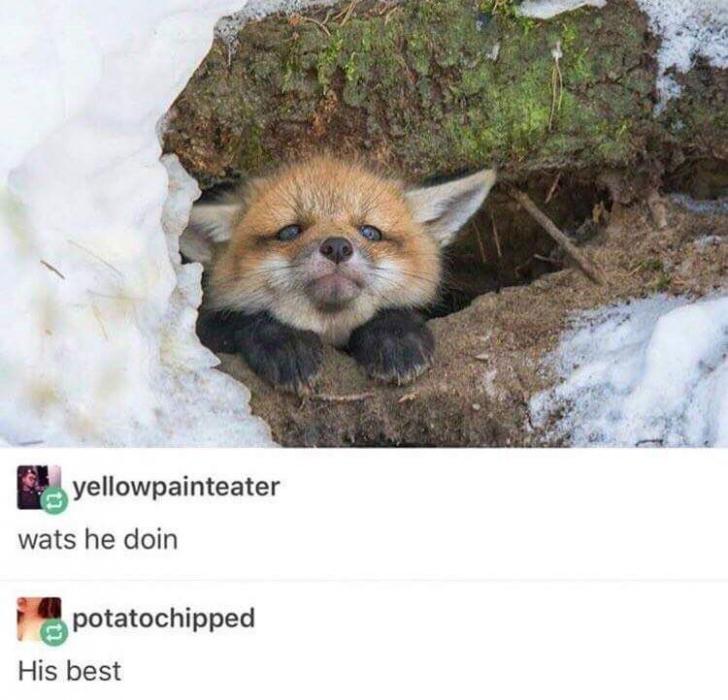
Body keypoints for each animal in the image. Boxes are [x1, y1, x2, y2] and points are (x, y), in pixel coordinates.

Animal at [182, 156, 496, 393]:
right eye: (290, 231)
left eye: (370, 232)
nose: (336, 247)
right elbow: (240, 321)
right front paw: (286, 343)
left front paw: (395, 336)